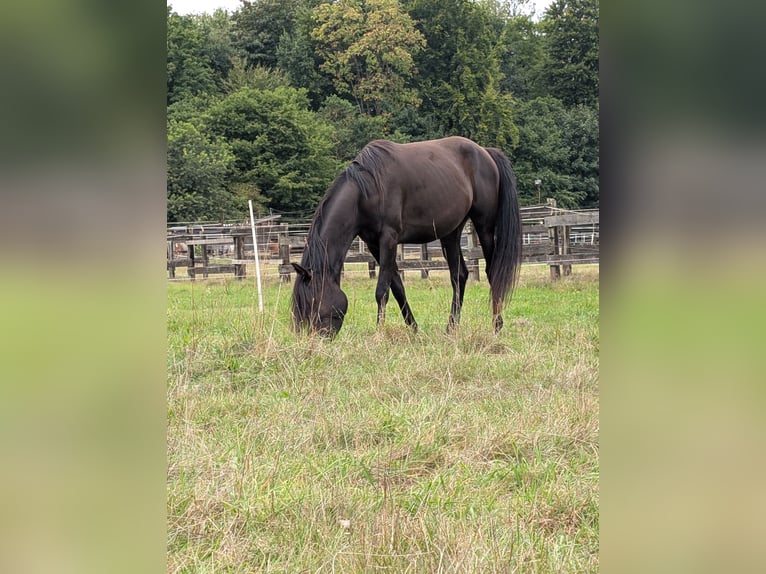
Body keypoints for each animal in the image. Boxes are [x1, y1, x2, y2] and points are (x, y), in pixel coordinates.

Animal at [291, 136, 522, 337]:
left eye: (312, 304)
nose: (313, 340)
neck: (367, 190)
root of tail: (485, 152)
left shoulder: (389, 239)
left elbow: (382, 290)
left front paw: (379, 334)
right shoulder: (374, 244)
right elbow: (397, 287)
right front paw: (413, 328)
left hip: (484, 226)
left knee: (492, 272)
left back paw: (496, 326)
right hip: (451, 232)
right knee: (459, 276)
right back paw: (451, 327)